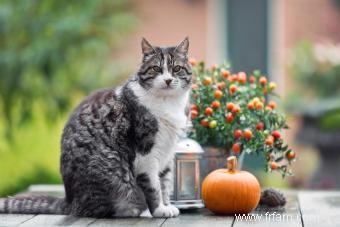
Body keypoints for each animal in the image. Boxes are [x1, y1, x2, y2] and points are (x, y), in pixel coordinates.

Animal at [0, 37, 191, 218]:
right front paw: (159, 210)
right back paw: (129, 210)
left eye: (177, 69)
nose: (168, 80)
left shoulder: (167, 153)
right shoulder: (146, 153)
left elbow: (164, 183)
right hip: (112, 170)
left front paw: (167, 206)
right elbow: (154, 186)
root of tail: (70, 200)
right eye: (156, 69)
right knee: (95, 210)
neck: (167, 104)